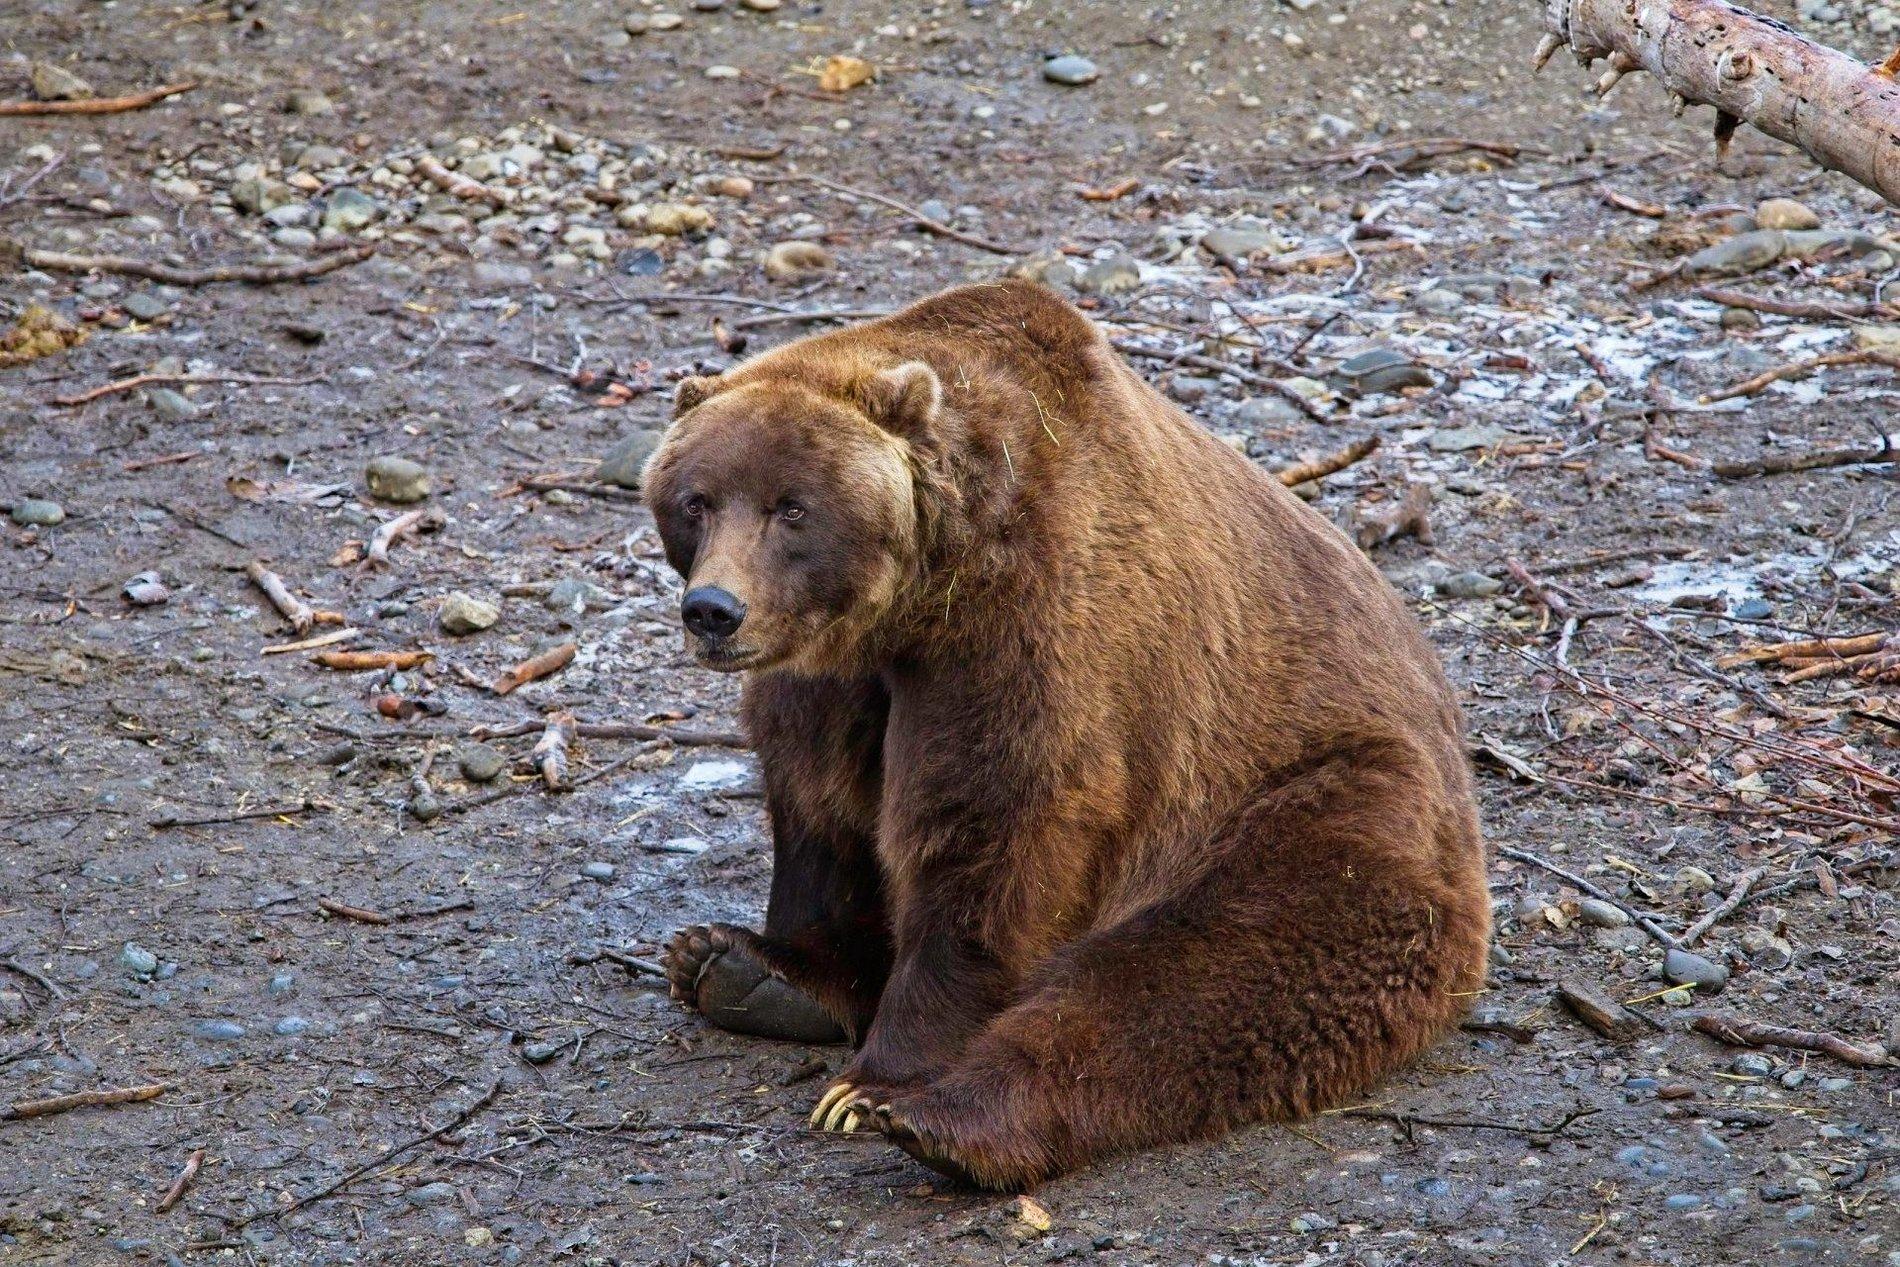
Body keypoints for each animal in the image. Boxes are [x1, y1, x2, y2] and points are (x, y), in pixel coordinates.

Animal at [642, 279, 1491, 1190]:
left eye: (792, 507)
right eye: (695, 500)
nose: (715, 610)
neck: (919, 600)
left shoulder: (1038, 621)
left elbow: (999, 824)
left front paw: (871, 1083)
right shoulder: (834, 675)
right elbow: (820, 799)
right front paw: (762, 965)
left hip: (1319, 801)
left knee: (1190, 978)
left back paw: (951, 1120)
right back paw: (726, 971)